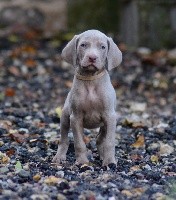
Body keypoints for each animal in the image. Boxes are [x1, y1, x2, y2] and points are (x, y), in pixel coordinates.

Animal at [52, 28, 122, 165]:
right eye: (83, 45)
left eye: (102, 47)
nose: (92, 57)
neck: (90, 79)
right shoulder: (75, 117)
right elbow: (79, 143)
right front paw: (82, 162)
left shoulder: (110, 116)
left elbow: (109, 142)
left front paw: (109, 162)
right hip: (65, 116)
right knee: (63, 139)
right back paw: (59, 156)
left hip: (105, 123)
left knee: (100, 139)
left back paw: (103, 155)